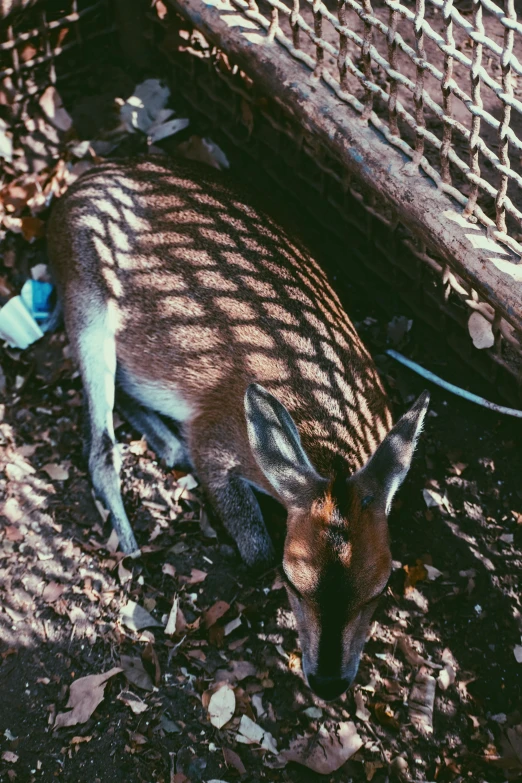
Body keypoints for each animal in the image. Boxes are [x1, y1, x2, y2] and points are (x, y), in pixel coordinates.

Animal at [48, 156, 428, 700]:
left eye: (381, 587)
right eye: (293, 582)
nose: (328, 683)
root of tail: (71, 191)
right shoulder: (216, 437)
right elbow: (256, 549)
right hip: (86, 301)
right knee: (100, 447)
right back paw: (134, 543)